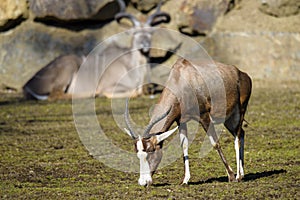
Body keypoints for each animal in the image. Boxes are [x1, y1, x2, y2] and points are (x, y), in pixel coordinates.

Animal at [123, 57, 252, 186]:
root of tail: (241, 73)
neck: (181, 79)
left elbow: (215, 143)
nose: (143, 182)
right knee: (241, 133)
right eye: (137, 154)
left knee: (237, 136)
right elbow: (184, 146)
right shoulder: (180, 121)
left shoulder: (204, 116)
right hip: (228, 118)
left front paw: (231, 176)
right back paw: (242, 174)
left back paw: (238, 176)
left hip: (240, 111)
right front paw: (185, 180)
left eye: (150, 151)